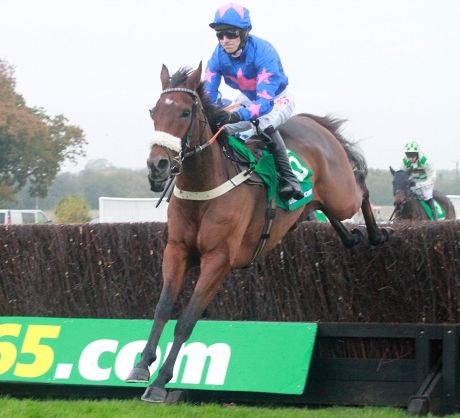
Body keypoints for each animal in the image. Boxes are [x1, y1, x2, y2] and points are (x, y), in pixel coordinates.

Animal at [126, 62, 392, 402]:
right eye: (153, 112)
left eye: (185, 113)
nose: (157, 166)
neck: (206, 186)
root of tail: (314, 123)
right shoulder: (177, 250)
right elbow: (162, 308)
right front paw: (140, 366)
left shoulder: (219, 259)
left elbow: (186, 320)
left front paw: (161, 381)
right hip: (314, 204)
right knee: (326, 208)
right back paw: (349, 237)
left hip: (342, 194)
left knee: (361, 189)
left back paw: (375, 234)